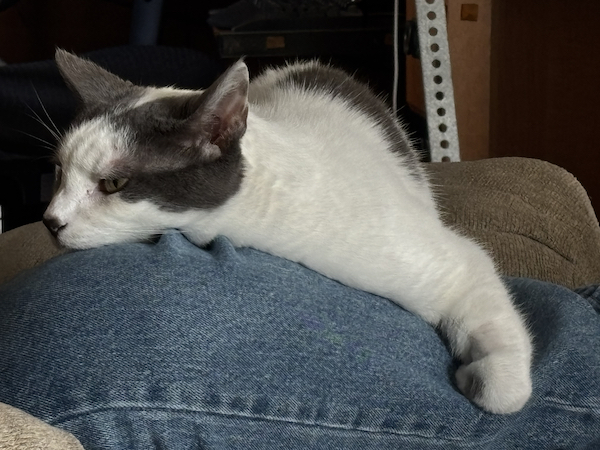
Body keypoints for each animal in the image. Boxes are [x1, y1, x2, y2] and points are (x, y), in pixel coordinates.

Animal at [45, 50, 528, 414]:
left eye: (113, 183)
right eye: (58, 171)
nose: (51, 221)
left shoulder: (427, 254)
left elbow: (473, 287)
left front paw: (489, 379)